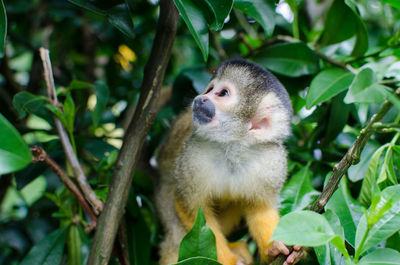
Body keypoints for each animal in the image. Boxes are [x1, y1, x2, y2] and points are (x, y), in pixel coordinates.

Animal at [156, 59, 294, 264]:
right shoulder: (193, 155)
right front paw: (229, 261)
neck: (234, 146)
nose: (201, 98)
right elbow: (195, 213)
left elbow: (260, 209)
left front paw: (274, 248)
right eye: (209, 89)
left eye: (222, 93)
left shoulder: (272, 162)